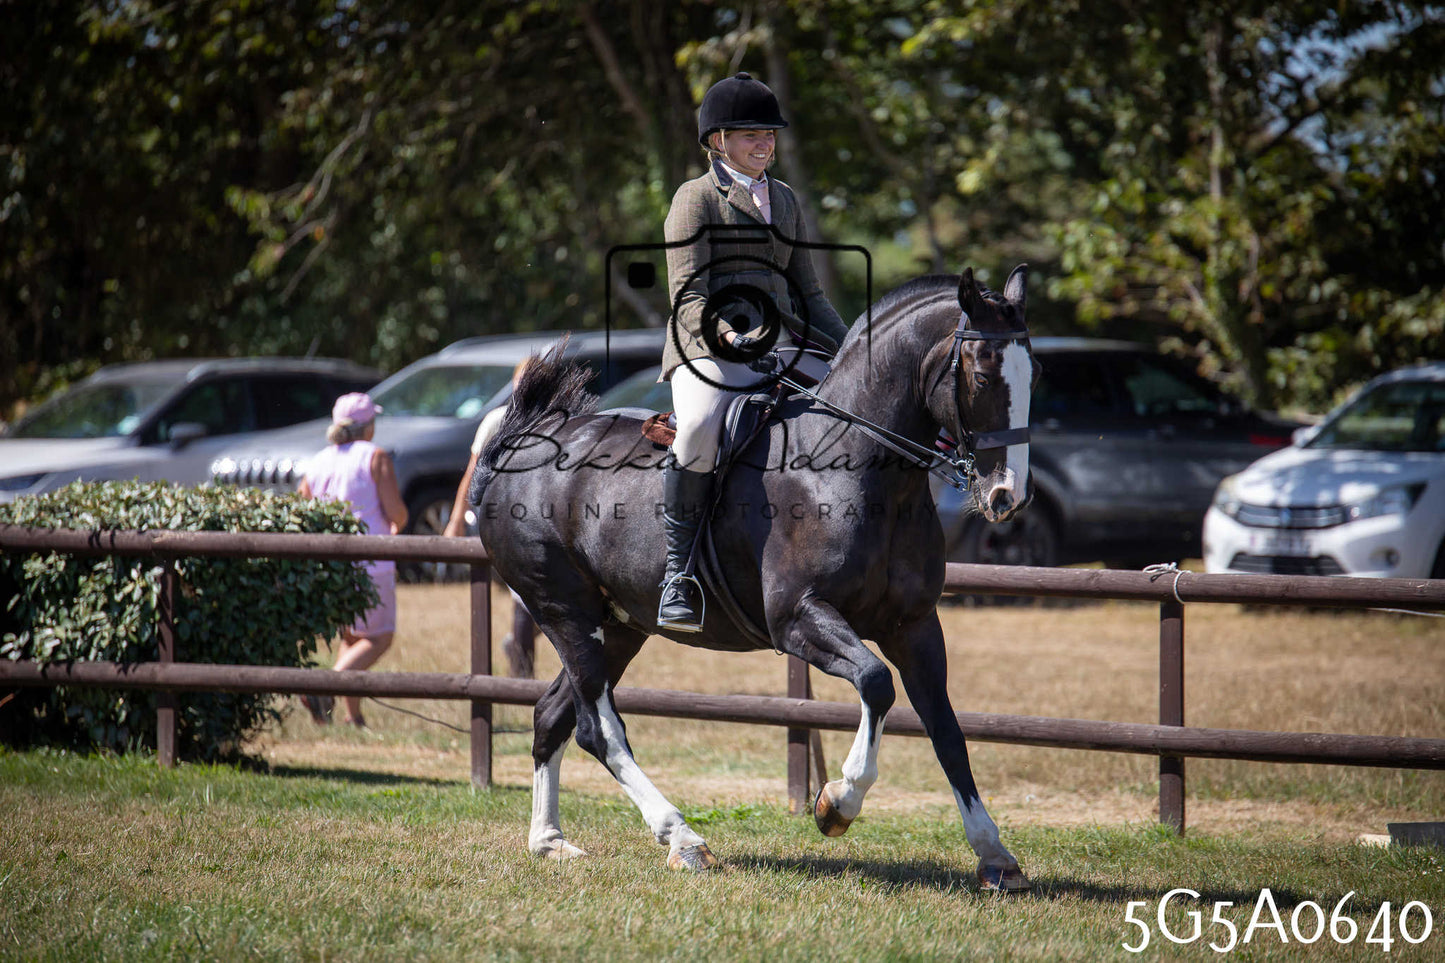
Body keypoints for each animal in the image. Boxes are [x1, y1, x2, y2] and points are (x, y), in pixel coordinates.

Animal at [469, 265, 1038, 891]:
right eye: (982, 375)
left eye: (1034, 372)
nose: (1007, 497)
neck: (858, 470)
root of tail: (515, 451)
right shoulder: (798, 620)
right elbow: (875, 683)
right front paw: (837, 803)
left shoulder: (913, 626)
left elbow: (947, 730)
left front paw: (994, 853)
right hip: (564, 612)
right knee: (599, 729)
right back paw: (682, 837)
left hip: (617, 626)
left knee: (553, 716)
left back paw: (549, 842)